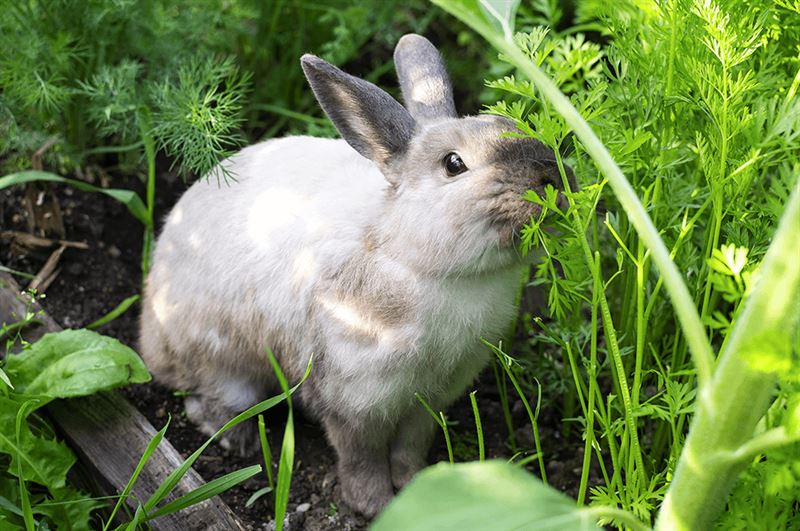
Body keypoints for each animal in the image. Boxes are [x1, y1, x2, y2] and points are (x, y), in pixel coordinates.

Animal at [139, 33, 568, 516]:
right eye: (453, 164)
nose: (552, 177)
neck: (418, 261)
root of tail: (150, 330)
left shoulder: (428, 402)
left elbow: (409, 448)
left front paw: (415, 486)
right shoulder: (356, 401)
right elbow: (360, 456)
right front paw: (374, 505)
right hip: (226, 366)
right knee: (208, 402)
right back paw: (240, 442)